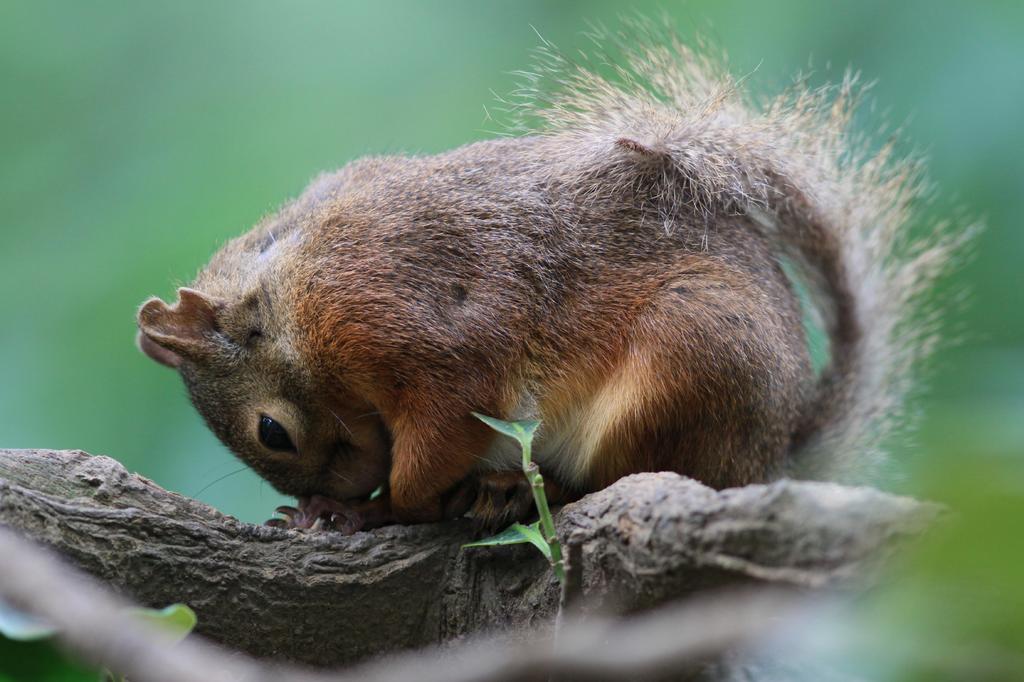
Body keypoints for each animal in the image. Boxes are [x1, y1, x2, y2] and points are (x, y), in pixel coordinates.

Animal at [138, 30, 966, 532]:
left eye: (271, 433)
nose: (331, 490)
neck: (291, 290)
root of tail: (769, 455)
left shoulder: (415, 336)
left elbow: (438, 445)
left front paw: (376, 511)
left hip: (688, 361)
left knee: (620, 479)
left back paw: (512, 491)